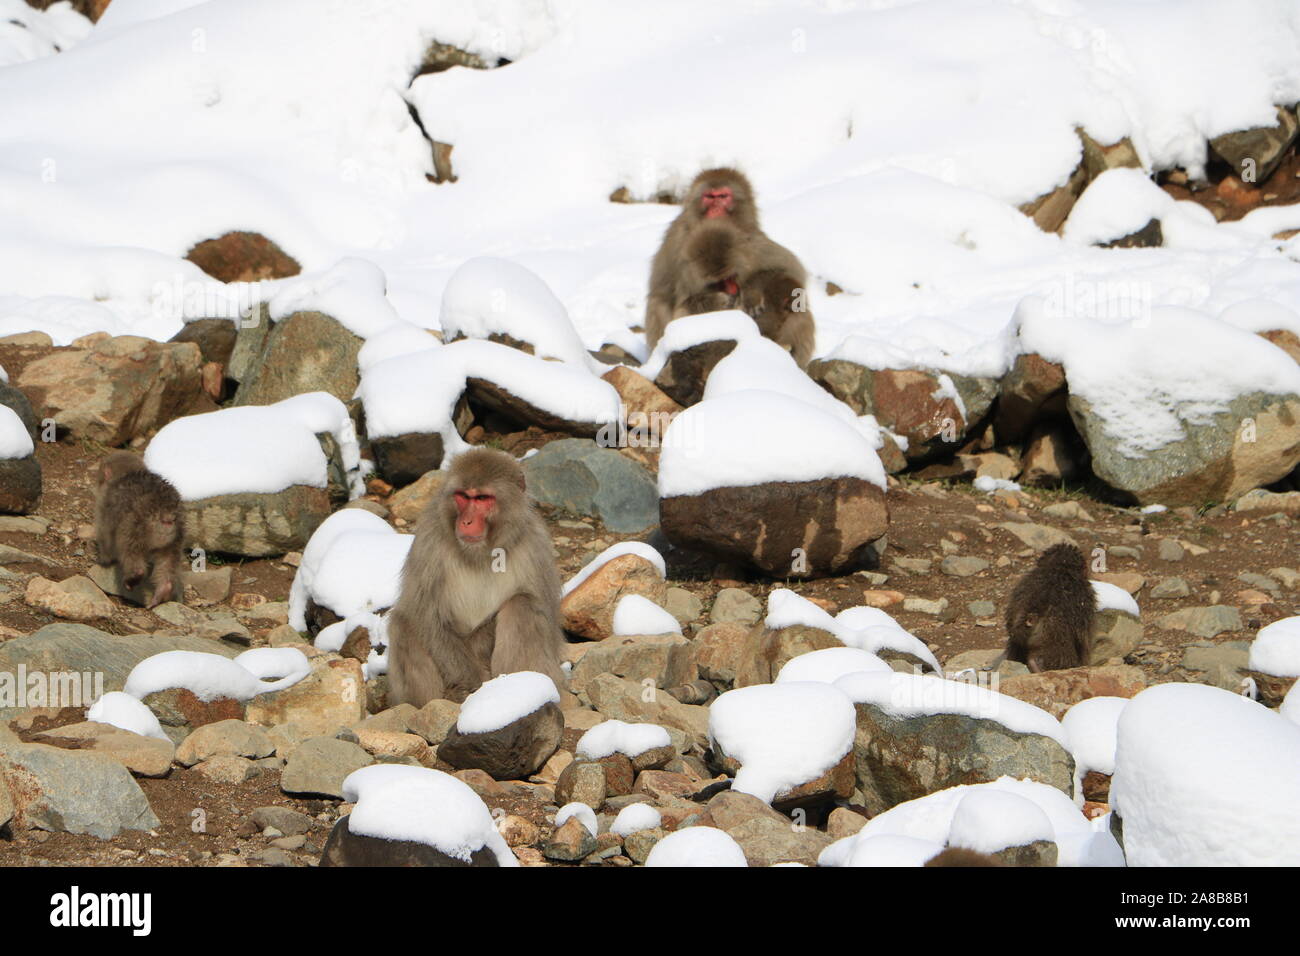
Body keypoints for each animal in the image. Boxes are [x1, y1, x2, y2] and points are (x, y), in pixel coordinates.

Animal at [92, 452, 185, 608]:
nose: (98, 483)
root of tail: (165, 514)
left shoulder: (104, 510)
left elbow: (105, 538)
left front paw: (104, 560)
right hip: (175, 539)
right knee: (168, 562)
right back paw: (163, 590)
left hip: (133, 528)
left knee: (131, 552)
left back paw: (133, 578)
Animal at [384, 444, 569, 707]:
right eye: (463, 496)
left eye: (482, 498)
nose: (467, 521)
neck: (481, 551)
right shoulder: (428, 540)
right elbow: (427, 617)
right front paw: (470, 684)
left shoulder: (536, 546)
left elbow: (548, 625)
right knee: (403, 622)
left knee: (522, 605)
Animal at [647, 166, 816, 369]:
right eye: (709, 197)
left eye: (723, 196)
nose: (716, 208)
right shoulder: (678, 243)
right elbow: (678, 300)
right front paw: (718, 300)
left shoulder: (752, 239)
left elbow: (789, 268)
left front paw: (751, 294)